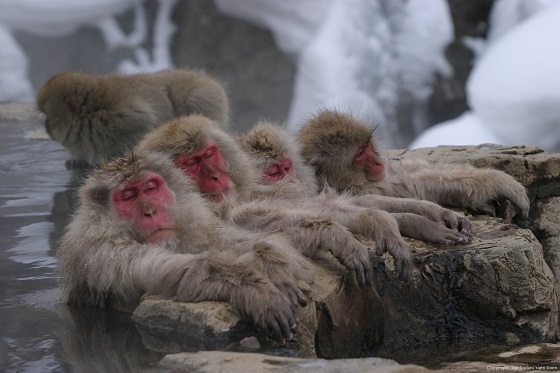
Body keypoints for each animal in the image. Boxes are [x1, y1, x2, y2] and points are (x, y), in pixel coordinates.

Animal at [37, 68, 230, 169]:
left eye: (48, 117)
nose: (46, 127)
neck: (92, 113)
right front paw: (76, 159)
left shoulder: (125, 117)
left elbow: (144, 125)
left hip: (203, 97)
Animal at [57, 150, 312, 342]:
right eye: (128, 196)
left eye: (151, 188)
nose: (151, 212)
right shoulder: (103, 252)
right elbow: (161, 271)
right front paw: (252, 288)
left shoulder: (195, 226)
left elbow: (231, 239)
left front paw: (271, 262)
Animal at [240, 120, 472, 246]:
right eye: (273, 173)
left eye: (286, 167)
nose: (292, 179)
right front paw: (422, 225)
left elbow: (360, 202)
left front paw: (433, 213)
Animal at [298, 108, 528, 218]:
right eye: (360, 155)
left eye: (366, 146)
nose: (377, 162)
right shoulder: (360, 189)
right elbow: (410, 186)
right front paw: (501, 182)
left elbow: (412, 174)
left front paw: (499, 178)